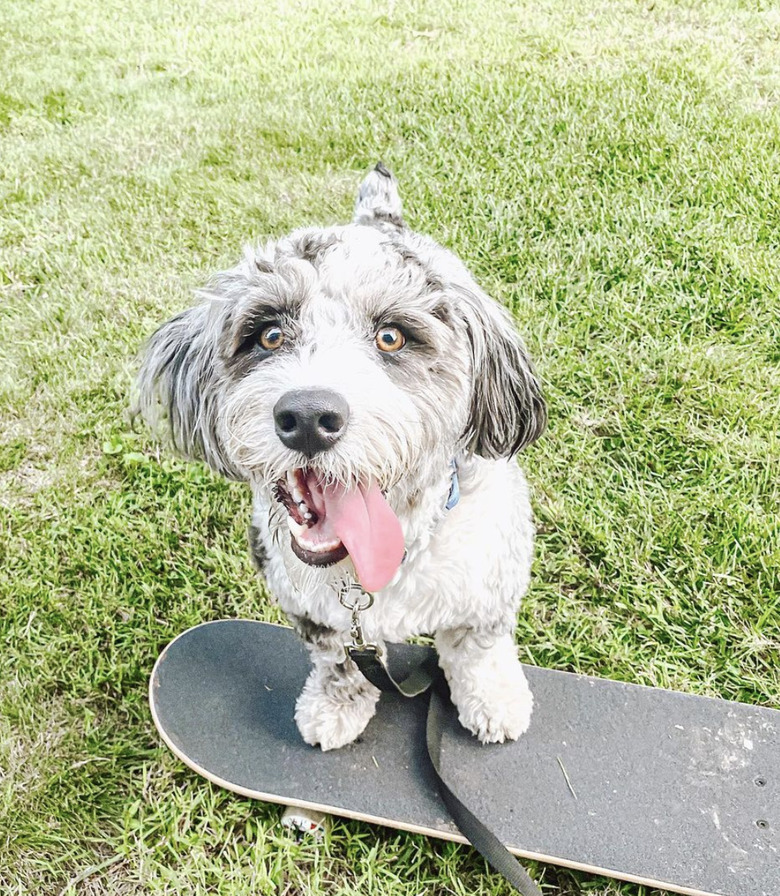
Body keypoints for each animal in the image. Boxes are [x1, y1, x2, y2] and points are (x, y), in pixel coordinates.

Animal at [137, 166, 544, 748]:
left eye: (392, 336)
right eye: (269, 334)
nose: (308, 416)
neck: (372, 569)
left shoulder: (487, 582)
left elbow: (478, 650)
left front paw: (493, 702)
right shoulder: (315, 612)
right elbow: (339, 662)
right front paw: (335, 708)